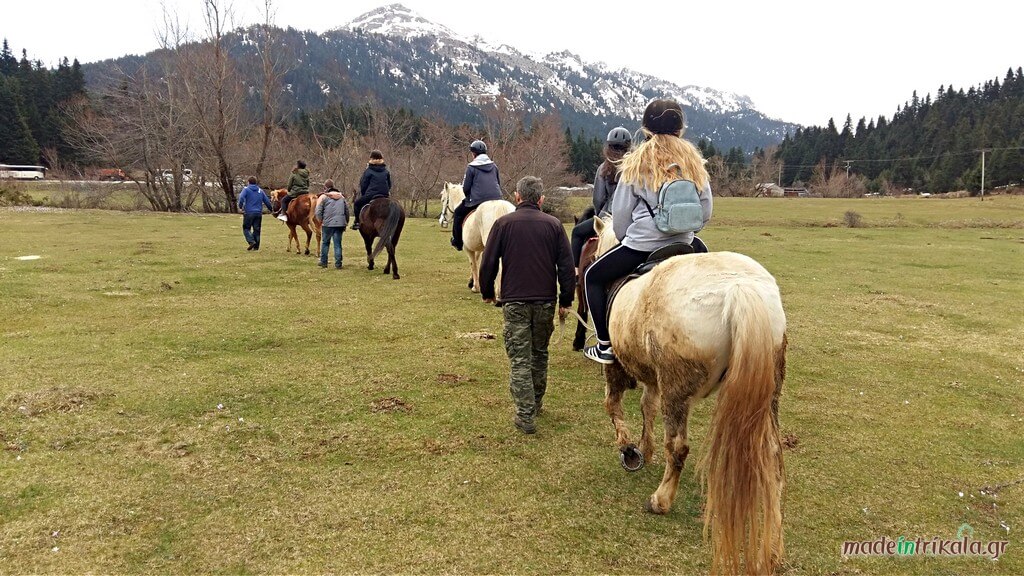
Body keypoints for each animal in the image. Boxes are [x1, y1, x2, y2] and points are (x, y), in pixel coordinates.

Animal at [589, 213, 786, 569]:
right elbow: (647, 406)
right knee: (773, 458)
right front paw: (645, 448)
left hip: (677, 390)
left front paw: (630, 450)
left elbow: (613, 406)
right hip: (767, 397)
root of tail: (740, 288)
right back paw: (774, 546)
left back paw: (661, 500)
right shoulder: (653, 378)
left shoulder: (619, 368)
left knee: (678, 447)